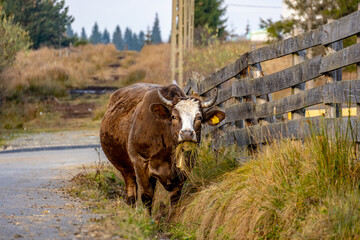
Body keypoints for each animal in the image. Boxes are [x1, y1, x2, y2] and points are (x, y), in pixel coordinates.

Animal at [100, 82, 224, 212]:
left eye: (199, 117)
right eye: (174, 116)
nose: (187, 133)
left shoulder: (183, 169)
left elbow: (174, 199)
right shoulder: (140, 164)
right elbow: (147, 197)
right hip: (125, 169)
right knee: (131, 193)